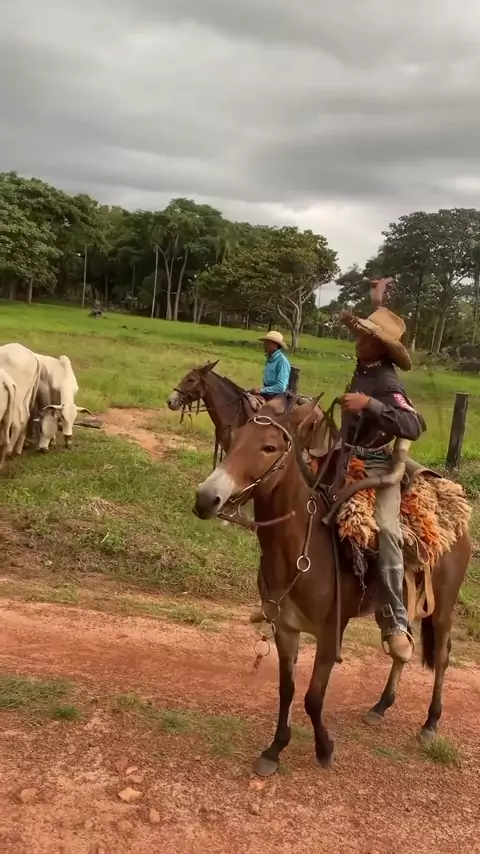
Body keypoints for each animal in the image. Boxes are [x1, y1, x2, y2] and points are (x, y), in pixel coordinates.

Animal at [193, 400, 471, 776]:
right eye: (232, 438)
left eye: (269, 447)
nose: (206, 498)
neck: (301, 550)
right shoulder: (286, 629)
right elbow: (287, 689)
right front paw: (274, 750)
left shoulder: (330, 633)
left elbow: (313, 696)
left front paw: (324, 748)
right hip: (397, 605)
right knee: (403, 647)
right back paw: (381, 706)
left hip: (442, 607)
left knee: (441, 656)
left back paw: (430, 724)